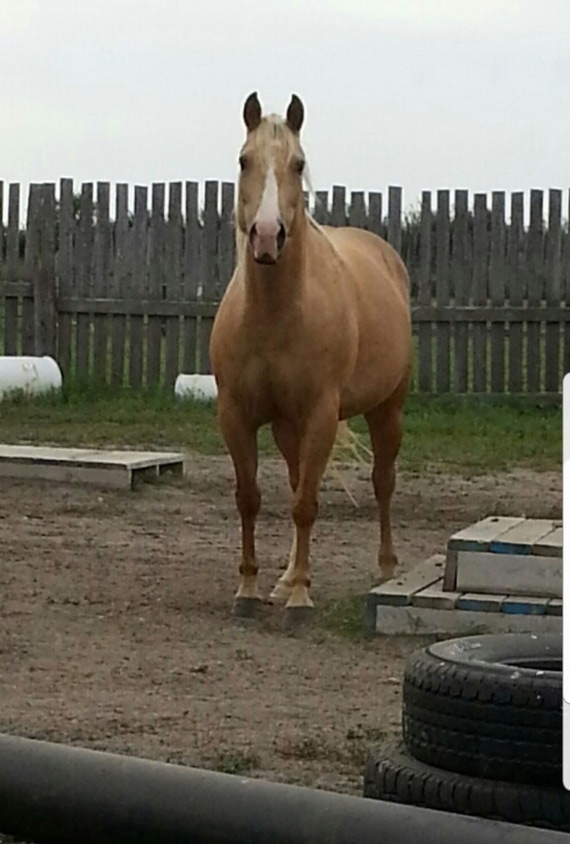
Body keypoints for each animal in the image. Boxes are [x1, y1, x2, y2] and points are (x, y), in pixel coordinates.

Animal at [209, 92, 412, 624]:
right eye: (244, 160)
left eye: (298, 164)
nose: (266, 236)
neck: (275, 315)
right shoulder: (236, 415)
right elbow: (251, 498)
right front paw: (250, 591)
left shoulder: (321, 414)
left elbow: (305, 506)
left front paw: (300, 597)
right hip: (288, 427)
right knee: (299, 478)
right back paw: (281, 580)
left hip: (388, 411)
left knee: (383, 483)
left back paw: (386, 569)